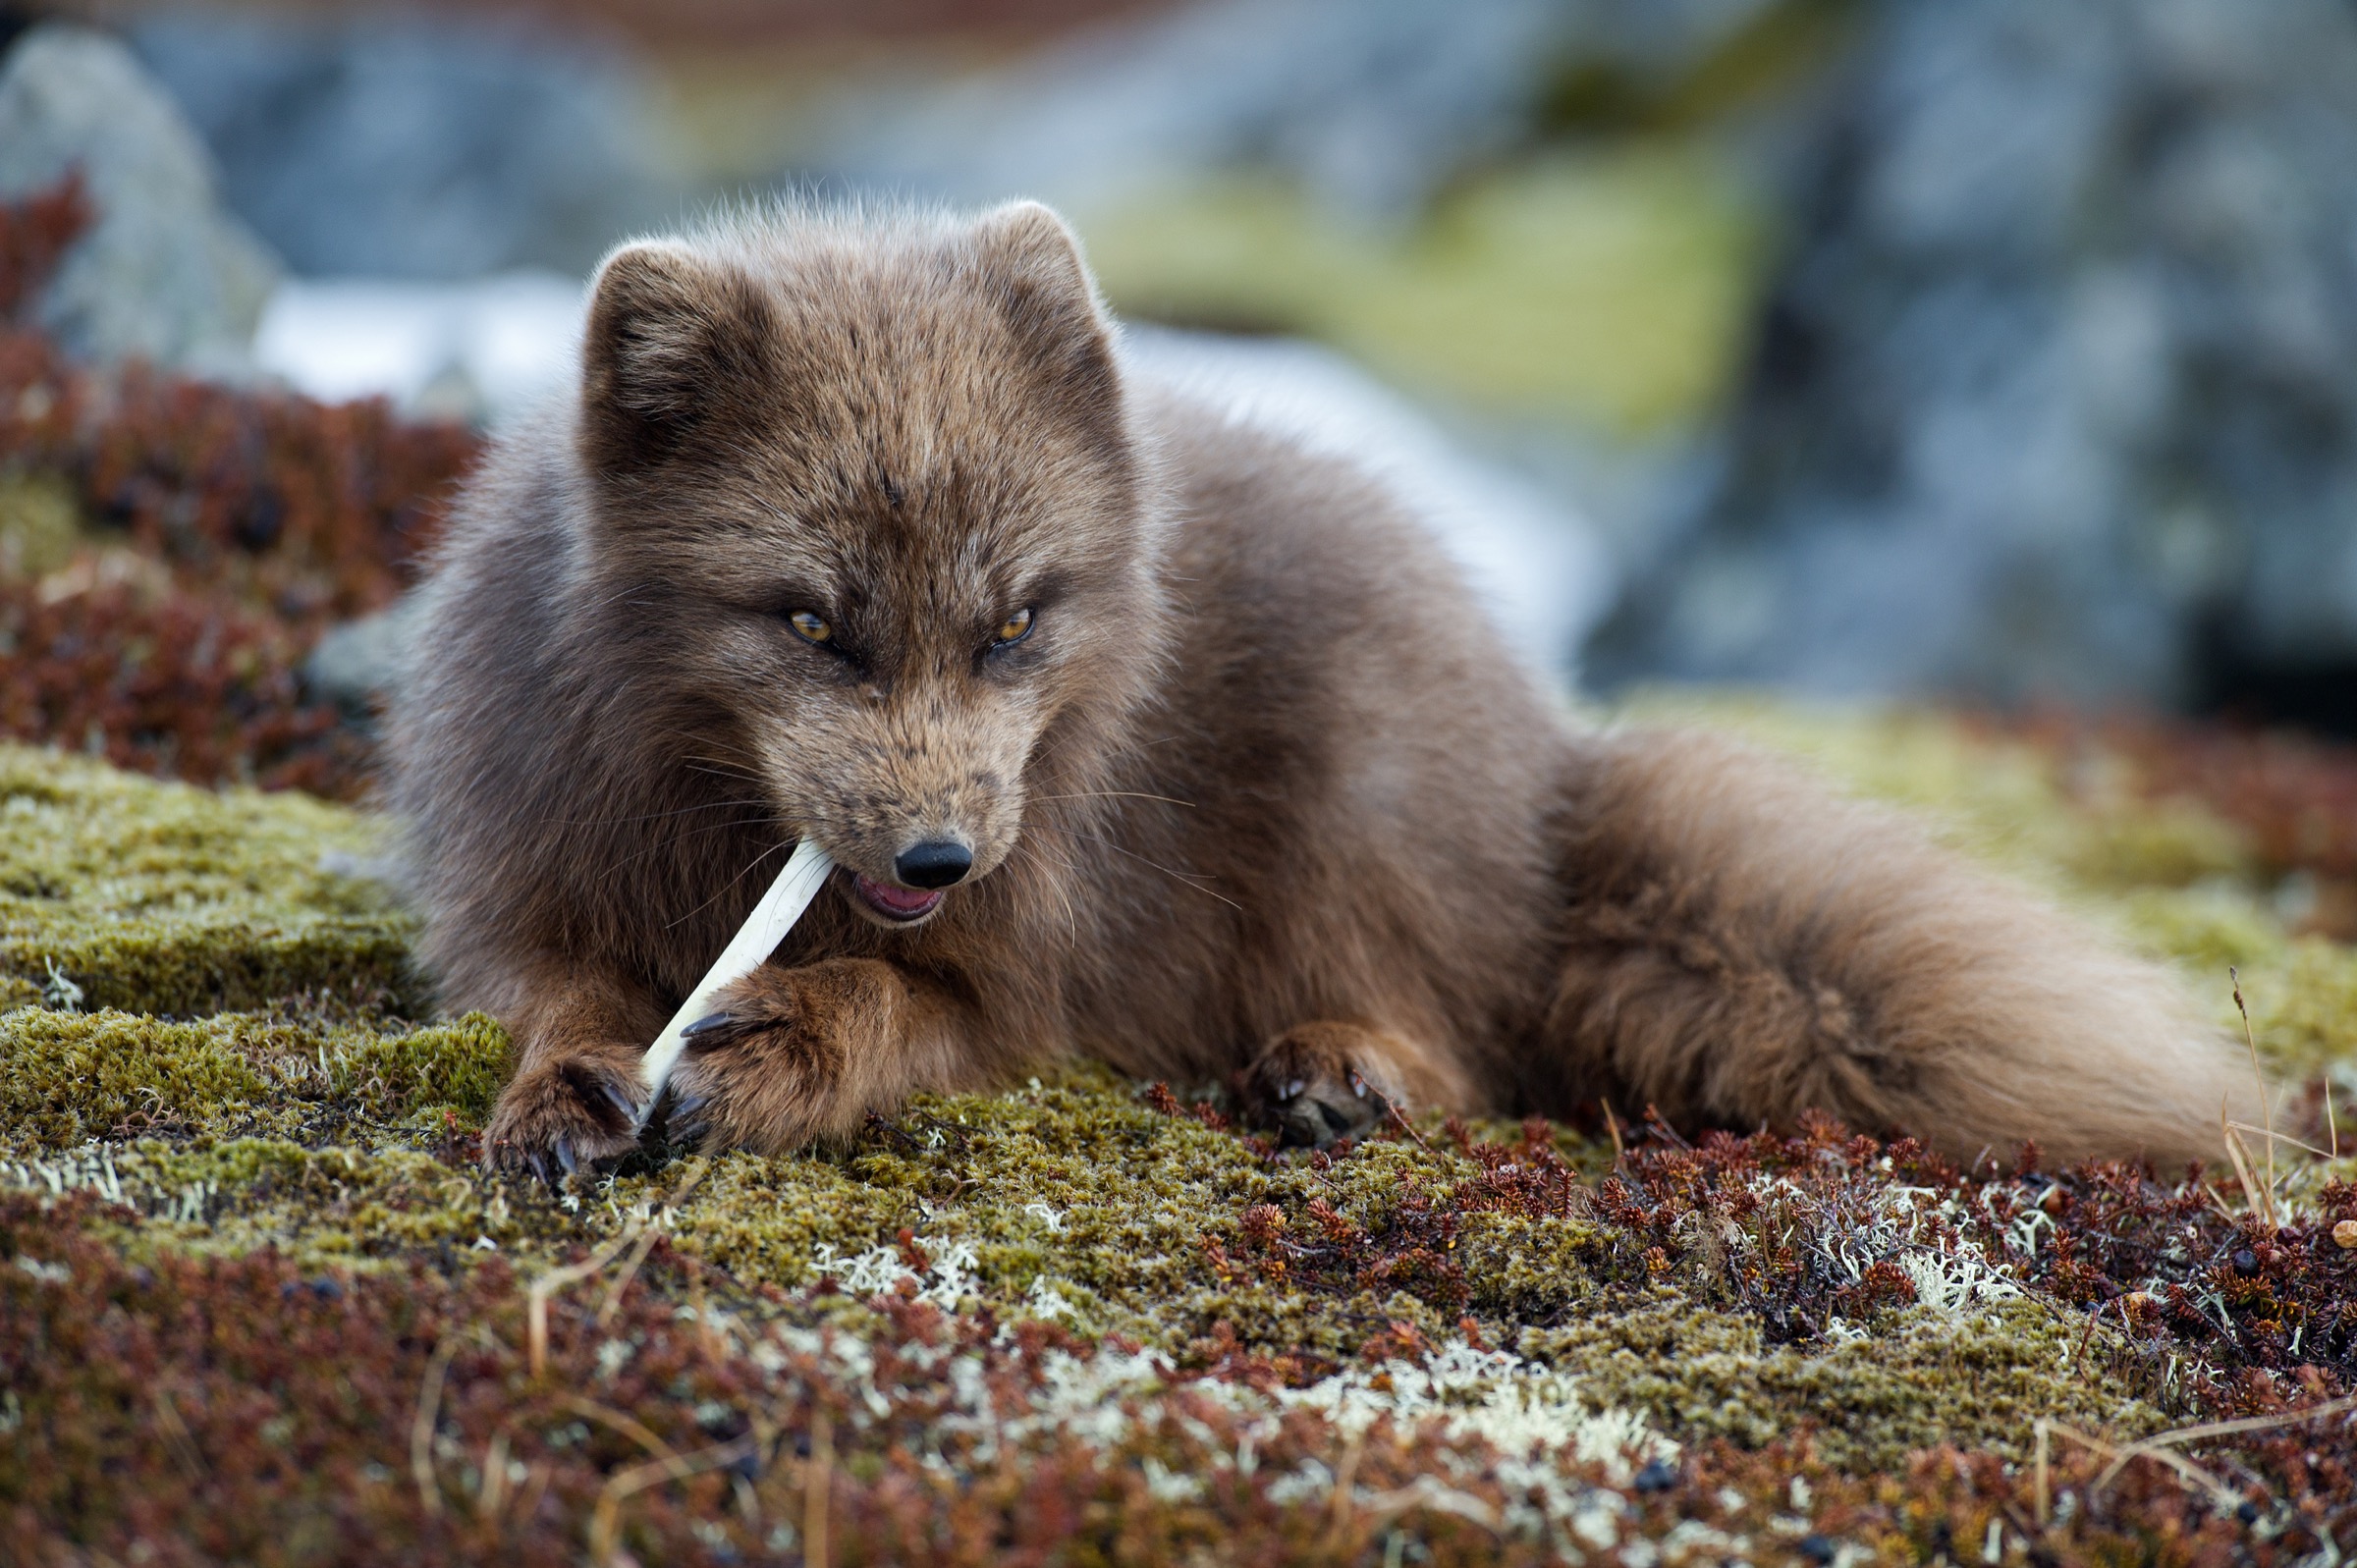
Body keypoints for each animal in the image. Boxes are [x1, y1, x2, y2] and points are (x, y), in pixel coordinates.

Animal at [386, 200, 2260, 1181]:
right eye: (809, 622)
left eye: (1015, 625)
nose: (937, 859)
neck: (718, 829)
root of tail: (1549, 776)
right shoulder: (523, 884)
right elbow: (557, 997)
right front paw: (571, 1085)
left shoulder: (1044, 977)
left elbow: (921, 1007)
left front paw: (788, 1030)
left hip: (1354, 799)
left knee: (1467, 1037)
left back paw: (1342, 1069)